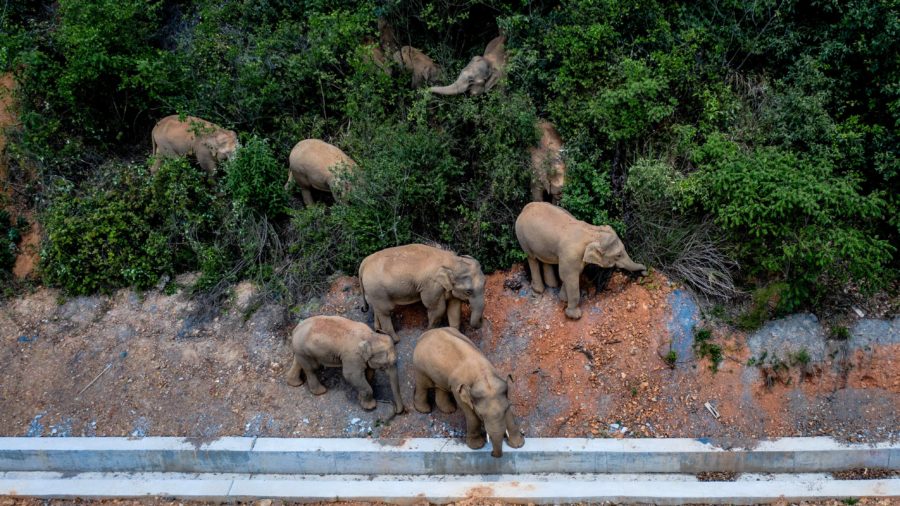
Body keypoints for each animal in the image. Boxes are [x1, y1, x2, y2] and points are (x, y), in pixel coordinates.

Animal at [358, 245, 486, 344]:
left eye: (485, 283)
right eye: (468, 291)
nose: (483, 320)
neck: (452, 261)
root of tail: (364, 263)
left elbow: (454, 309)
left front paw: (456, 334)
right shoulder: (432, 286)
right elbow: (438, 309)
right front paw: (428, 332)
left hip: (374, 291)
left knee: (378, 309)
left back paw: (378, 331)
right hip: (377, 289)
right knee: (385, 311)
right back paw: (395, 340)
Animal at [416, 328, 528, 458]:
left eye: (504, 410)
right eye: (481, 415)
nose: (492, 454)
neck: (482, 375)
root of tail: (428, 332)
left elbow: (509, 413)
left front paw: (518, 445)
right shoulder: (458, 389)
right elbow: (470, 414)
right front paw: (477, 446)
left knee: (441, 387)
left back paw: (449, 410)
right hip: (420, 368)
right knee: (423, 385)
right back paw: (424, 410)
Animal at [512, 200, 648, 318]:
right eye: (618, 255)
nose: (645, 272)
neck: (592, 233)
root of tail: (526, 207)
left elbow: (570, 276)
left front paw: (563, 298)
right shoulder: (571, 255)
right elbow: (569, 277)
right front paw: (575, 315)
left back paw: (552, 285)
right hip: (522, 236)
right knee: (532, 258)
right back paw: (538, 290)